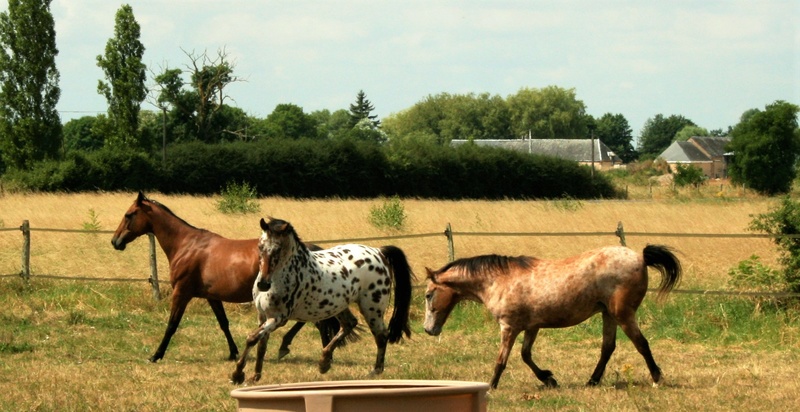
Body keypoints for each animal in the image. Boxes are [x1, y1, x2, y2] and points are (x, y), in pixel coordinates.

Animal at [111, 193, 340, 364]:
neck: (187, 245)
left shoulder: (181, 293)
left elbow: (172, 325)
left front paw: (156, 355)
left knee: (320, 323)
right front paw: (233, 352)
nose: (115, 241)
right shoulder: (212, 297)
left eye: (129, 215)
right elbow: (223, 323)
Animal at [230, 217, 412, 384]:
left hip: (372, 308)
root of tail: (379, 252)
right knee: (349, 324)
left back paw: (374, 373)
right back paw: (324, 362)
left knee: (381, 335)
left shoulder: (278, 318)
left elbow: (252, 338)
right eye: (260, 247)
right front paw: (254, 376)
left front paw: (237, 375)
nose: (263, 284)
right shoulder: (263, 315)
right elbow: (261, 345)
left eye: (278, 248)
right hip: (338, 305)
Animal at [424, 245, 680, 390]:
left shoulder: (508, 327)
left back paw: (657, 379)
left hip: (622, 314)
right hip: (608, 314)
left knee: (641, 344)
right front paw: (549, 379)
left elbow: (502, 360)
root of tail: (641, 257)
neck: (498, 280)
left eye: (428, 295)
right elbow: (525, 355)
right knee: (607, 347)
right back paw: (592, 381)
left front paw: (491, 386)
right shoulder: (531, 327)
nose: (428, 330)